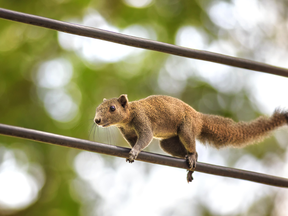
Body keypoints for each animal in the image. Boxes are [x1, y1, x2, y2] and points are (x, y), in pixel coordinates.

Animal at [94, 94, 288, 182]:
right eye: (97, 108)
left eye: (112, 108)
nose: (97, 120)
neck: (129, 115)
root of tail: (199, 118)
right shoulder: (126, 131)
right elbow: (134, 140)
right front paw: (133, 151)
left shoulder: (142, 119)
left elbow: (145, 138)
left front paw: (134, 152)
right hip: (169, 143)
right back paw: (190, 163)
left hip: (187, 128)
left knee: (190, 143)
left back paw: (193, 156)